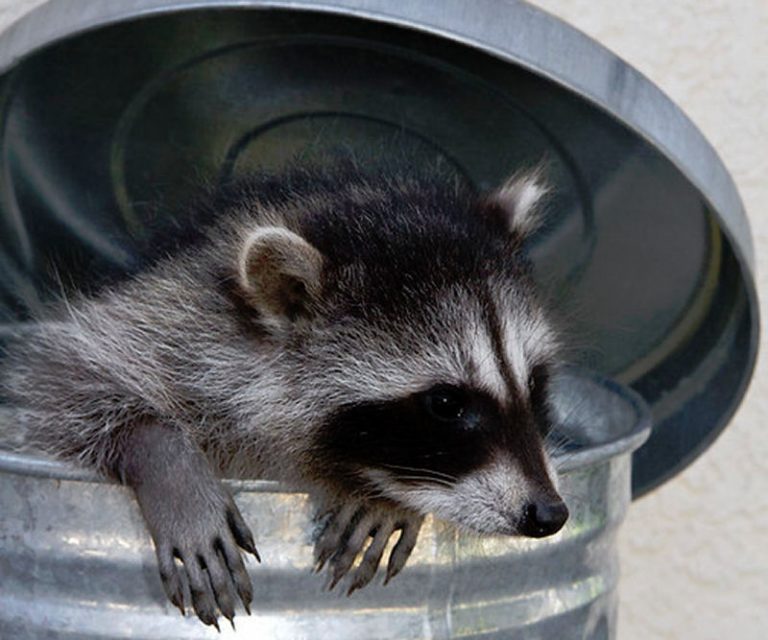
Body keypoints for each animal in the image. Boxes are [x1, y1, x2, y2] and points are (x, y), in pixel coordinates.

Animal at [0, 163, 567, 629]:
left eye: (533, 383)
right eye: (446, 404)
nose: (551, 514)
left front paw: (389, 501)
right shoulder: (166, 324)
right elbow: (60, 386)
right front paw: (167, 459)